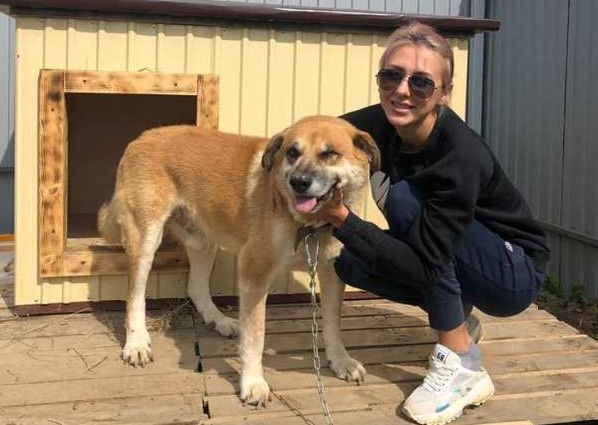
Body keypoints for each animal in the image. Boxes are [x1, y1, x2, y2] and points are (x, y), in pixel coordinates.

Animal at [98, 115, 380, 406]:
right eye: (292, 152)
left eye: (329, 153)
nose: (299, 182)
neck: (308, 225)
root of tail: (141, 138)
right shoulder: (253, 272)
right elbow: (255, 337)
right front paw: (253, 383)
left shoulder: (331, 273)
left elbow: (333, 324)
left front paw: (340, 360)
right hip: (146, 237)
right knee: (135, 295)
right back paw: (136, 343)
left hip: (201, 240)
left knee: (195, 287)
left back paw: (219, 320)